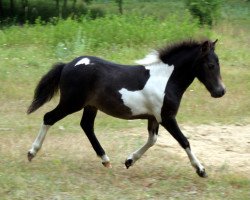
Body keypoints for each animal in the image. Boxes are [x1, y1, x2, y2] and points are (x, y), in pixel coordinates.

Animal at [26, 39, 225, 178]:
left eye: (218, 63)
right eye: (210, 65)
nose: (220, 91)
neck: (165, 79)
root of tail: (67, 65)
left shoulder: (153, 118)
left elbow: (152, 140)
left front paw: (129, 161)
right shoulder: (166, 117)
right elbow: (184, 141)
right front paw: (201, 170)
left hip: (90, 106)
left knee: (86, 126)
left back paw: (106, 160)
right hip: (71, 103)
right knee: (49, 117)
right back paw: (31, 152)